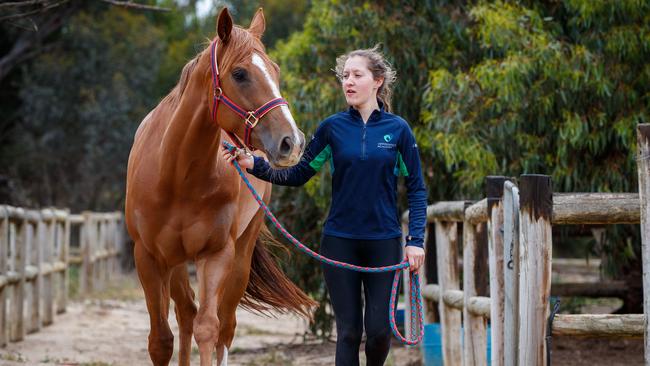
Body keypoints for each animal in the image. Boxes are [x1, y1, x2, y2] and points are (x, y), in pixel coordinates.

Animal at [124, 8, 316, 366]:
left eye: (276, 70)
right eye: (240, 74)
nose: (292, 142)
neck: (176, 176)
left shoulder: (215, 255)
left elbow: (208, 330)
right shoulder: (149, 257)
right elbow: (161, 340)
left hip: (239, 257)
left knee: (224, 326)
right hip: (175, 263)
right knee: (185, 312)